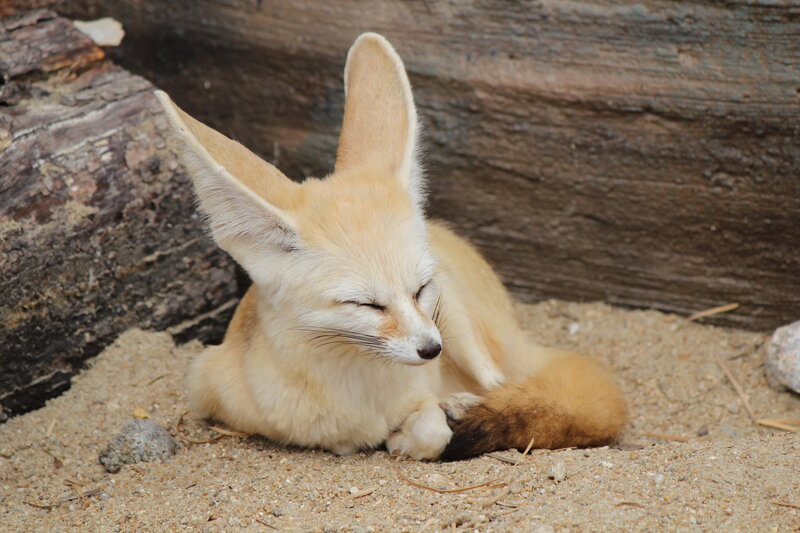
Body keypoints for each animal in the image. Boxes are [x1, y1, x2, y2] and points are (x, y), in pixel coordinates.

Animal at [154, 32, 626, 461]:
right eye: (367, 304)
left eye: (420, 289)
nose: (431, 350)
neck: (362, 399)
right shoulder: (205, 383)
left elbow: (436, 430)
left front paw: (415, 433)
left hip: (461, 326)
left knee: (506, 383)